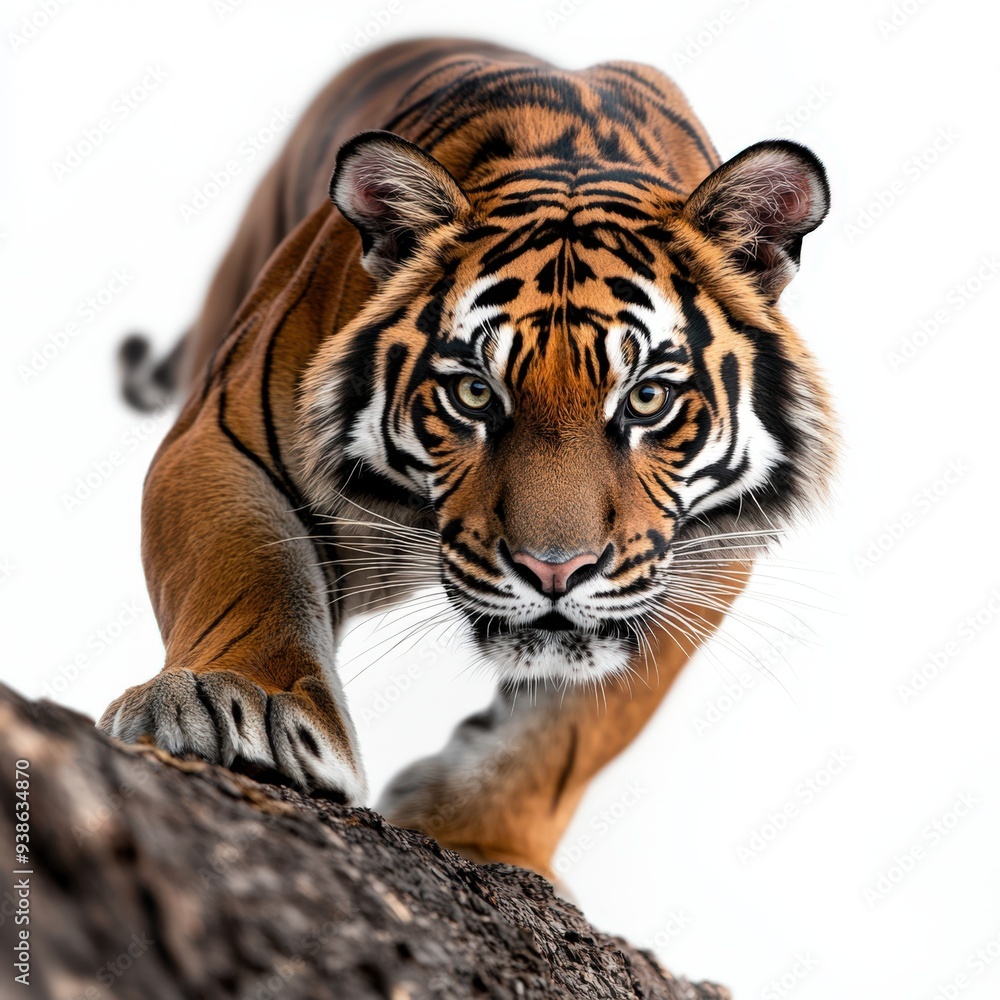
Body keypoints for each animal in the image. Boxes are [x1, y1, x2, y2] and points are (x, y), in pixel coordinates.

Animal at [98, 37, 835, 880]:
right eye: (475, 394)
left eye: (647, 398)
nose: (555, 570)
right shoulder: (221, 439)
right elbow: (247, 575)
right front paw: (243, 708)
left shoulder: (712, 548)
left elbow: (580, 728)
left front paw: (481, 836)